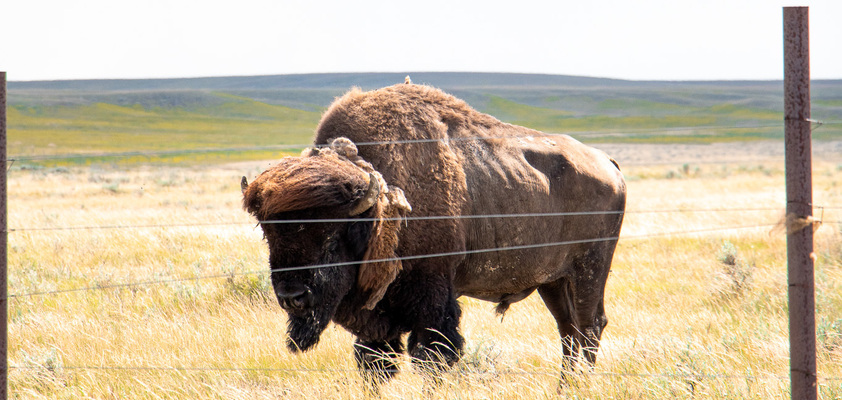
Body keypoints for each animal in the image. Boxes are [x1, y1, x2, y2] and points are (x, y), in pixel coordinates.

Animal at [243, 83, 624, 388]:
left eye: (331, 238)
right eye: (269, 236)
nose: (292, 296)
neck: (377, 206)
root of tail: (608, 163)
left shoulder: (432, 299)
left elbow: (433, 358)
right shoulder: (377, 319)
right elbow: (374, 364)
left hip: (590, 268)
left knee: (590, 326)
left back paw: (578, 386)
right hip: (554, 280)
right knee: (569, 331)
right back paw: (564, 388)